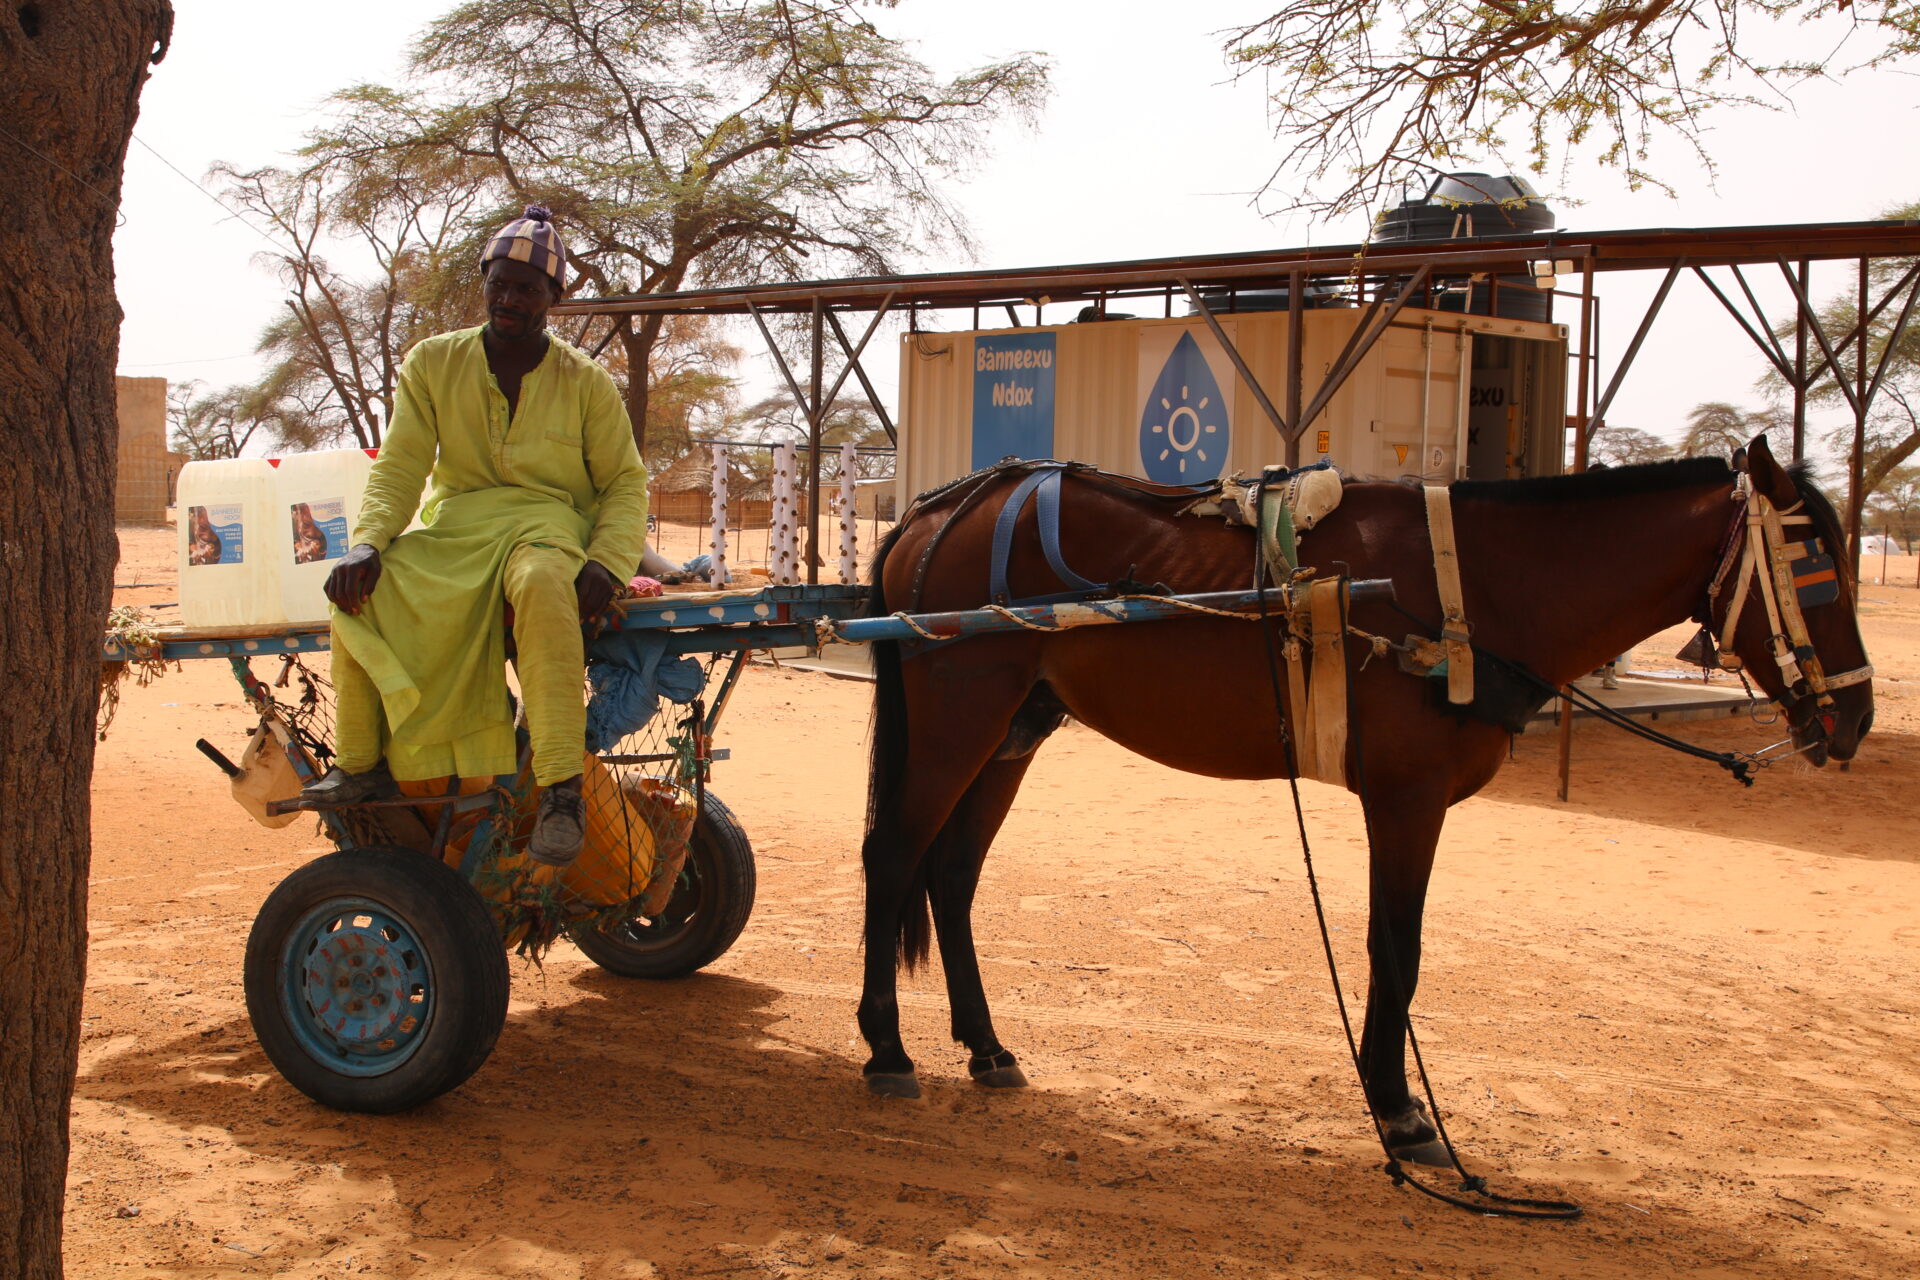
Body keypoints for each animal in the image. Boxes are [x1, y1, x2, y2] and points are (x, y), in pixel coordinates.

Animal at [856, 435, 1873, 1166]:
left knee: (952, 874)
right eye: (1813, 561)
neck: (1472, 585)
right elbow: (1398, 947)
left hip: (1016, 727)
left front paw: (1397, 1102)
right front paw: (1400, 1111)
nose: (1857, 715)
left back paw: (986, 1047)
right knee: (895, 857)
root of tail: (939, 509)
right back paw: (888, 1049)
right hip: (960, 716)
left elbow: (1398, 949)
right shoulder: (1407, 797)